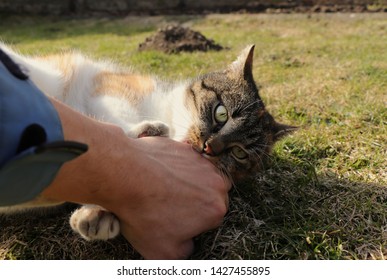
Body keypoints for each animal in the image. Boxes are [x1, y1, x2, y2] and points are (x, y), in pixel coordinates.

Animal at [0, 43, 294, 241]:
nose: (210, 147)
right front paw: (142, 131)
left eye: (239, 153)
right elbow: (116, 117)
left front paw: (98, 214)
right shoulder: (111, 86)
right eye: (221, 113)